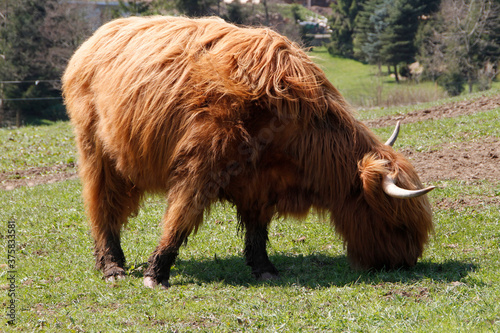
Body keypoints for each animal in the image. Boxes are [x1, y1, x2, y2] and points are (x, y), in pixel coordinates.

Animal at [61, 16, 434, 288]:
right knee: (101, 207)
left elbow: (257, 230)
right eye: (397, 224)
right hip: (96, 151)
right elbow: (180, 218)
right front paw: (157, 273)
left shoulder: (260, 182)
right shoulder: (199, 167)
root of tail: (97, 36)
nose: (406, 263)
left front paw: (264, 267)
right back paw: (112, 266)